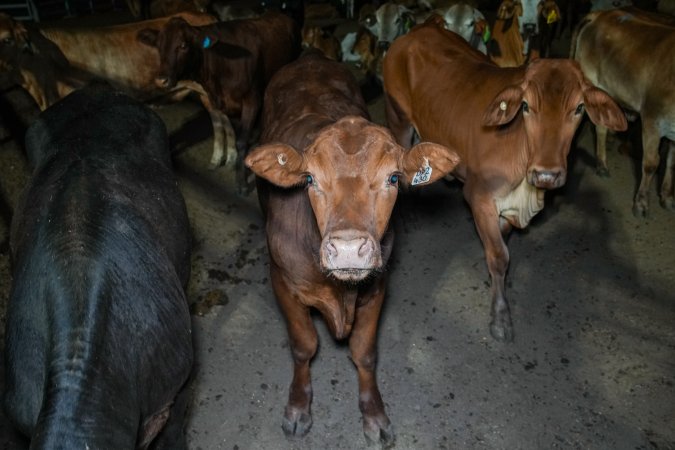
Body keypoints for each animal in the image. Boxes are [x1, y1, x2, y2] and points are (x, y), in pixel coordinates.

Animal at [139, 11, 302, 193]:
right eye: (159, 46)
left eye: (183, 45)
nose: (161, 80)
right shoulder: (218, 102)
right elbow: (226, 130)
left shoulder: (252, 100)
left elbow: (241, 141)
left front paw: (242, 183)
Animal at [243, 50, 460, 446]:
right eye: (309, 179)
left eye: (393, 177)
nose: (347, 249)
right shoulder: (281, 282)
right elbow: (303, 346)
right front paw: (298, 408)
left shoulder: (376, 288)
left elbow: (365, 354)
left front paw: (374, 414)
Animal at [382, 17, 624, 342]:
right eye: (526, 107)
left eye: (579, 108)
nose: (547, 173)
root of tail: (416, 31)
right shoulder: (480, 197)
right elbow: (499, 256)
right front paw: (500, 317)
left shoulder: (507, 208)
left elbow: (503, 246)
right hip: (398, 117)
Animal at [572, 7, 675, 217]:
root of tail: (600, 14)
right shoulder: (652, 119)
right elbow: (651, 163)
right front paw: (641, 203)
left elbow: (670, 163)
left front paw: (667, 198)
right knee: (597, 127)